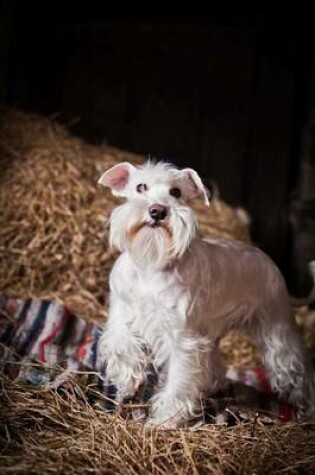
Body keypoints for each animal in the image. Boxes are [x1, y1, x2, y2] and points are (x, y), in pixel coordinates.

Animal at [99, 162, 315, 430]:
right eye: (140, 187)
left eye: (176, 192)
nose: (157, 211)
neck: (152, 263)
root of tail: (270, 263)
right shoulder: (121, 313)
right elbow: (122, 345)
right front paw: (127, 383)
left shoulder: (182, 339)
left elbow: (178, 379)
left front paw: (164, 420)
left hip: (278, 329)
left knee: (295, 368)